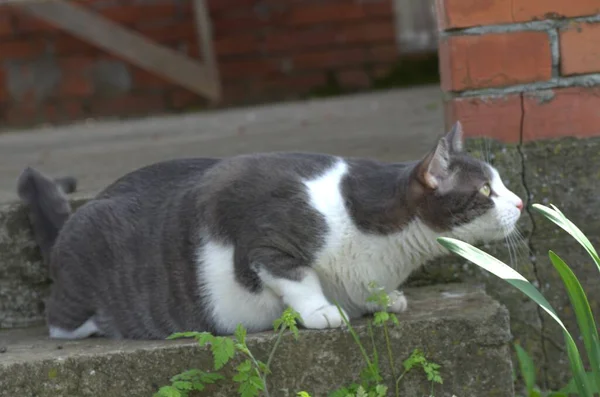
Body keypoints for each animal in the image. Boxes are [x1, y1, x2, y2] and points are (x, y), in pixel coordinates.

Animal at [16, 122, 524, 338]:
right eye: (486, 191)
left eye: (500, 183)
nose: (521, 201)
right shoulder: (262, 235)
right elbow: (294, 275)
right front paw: (322, 312)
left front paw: (385, 300)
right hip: (82, 282)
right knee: (57, 316)